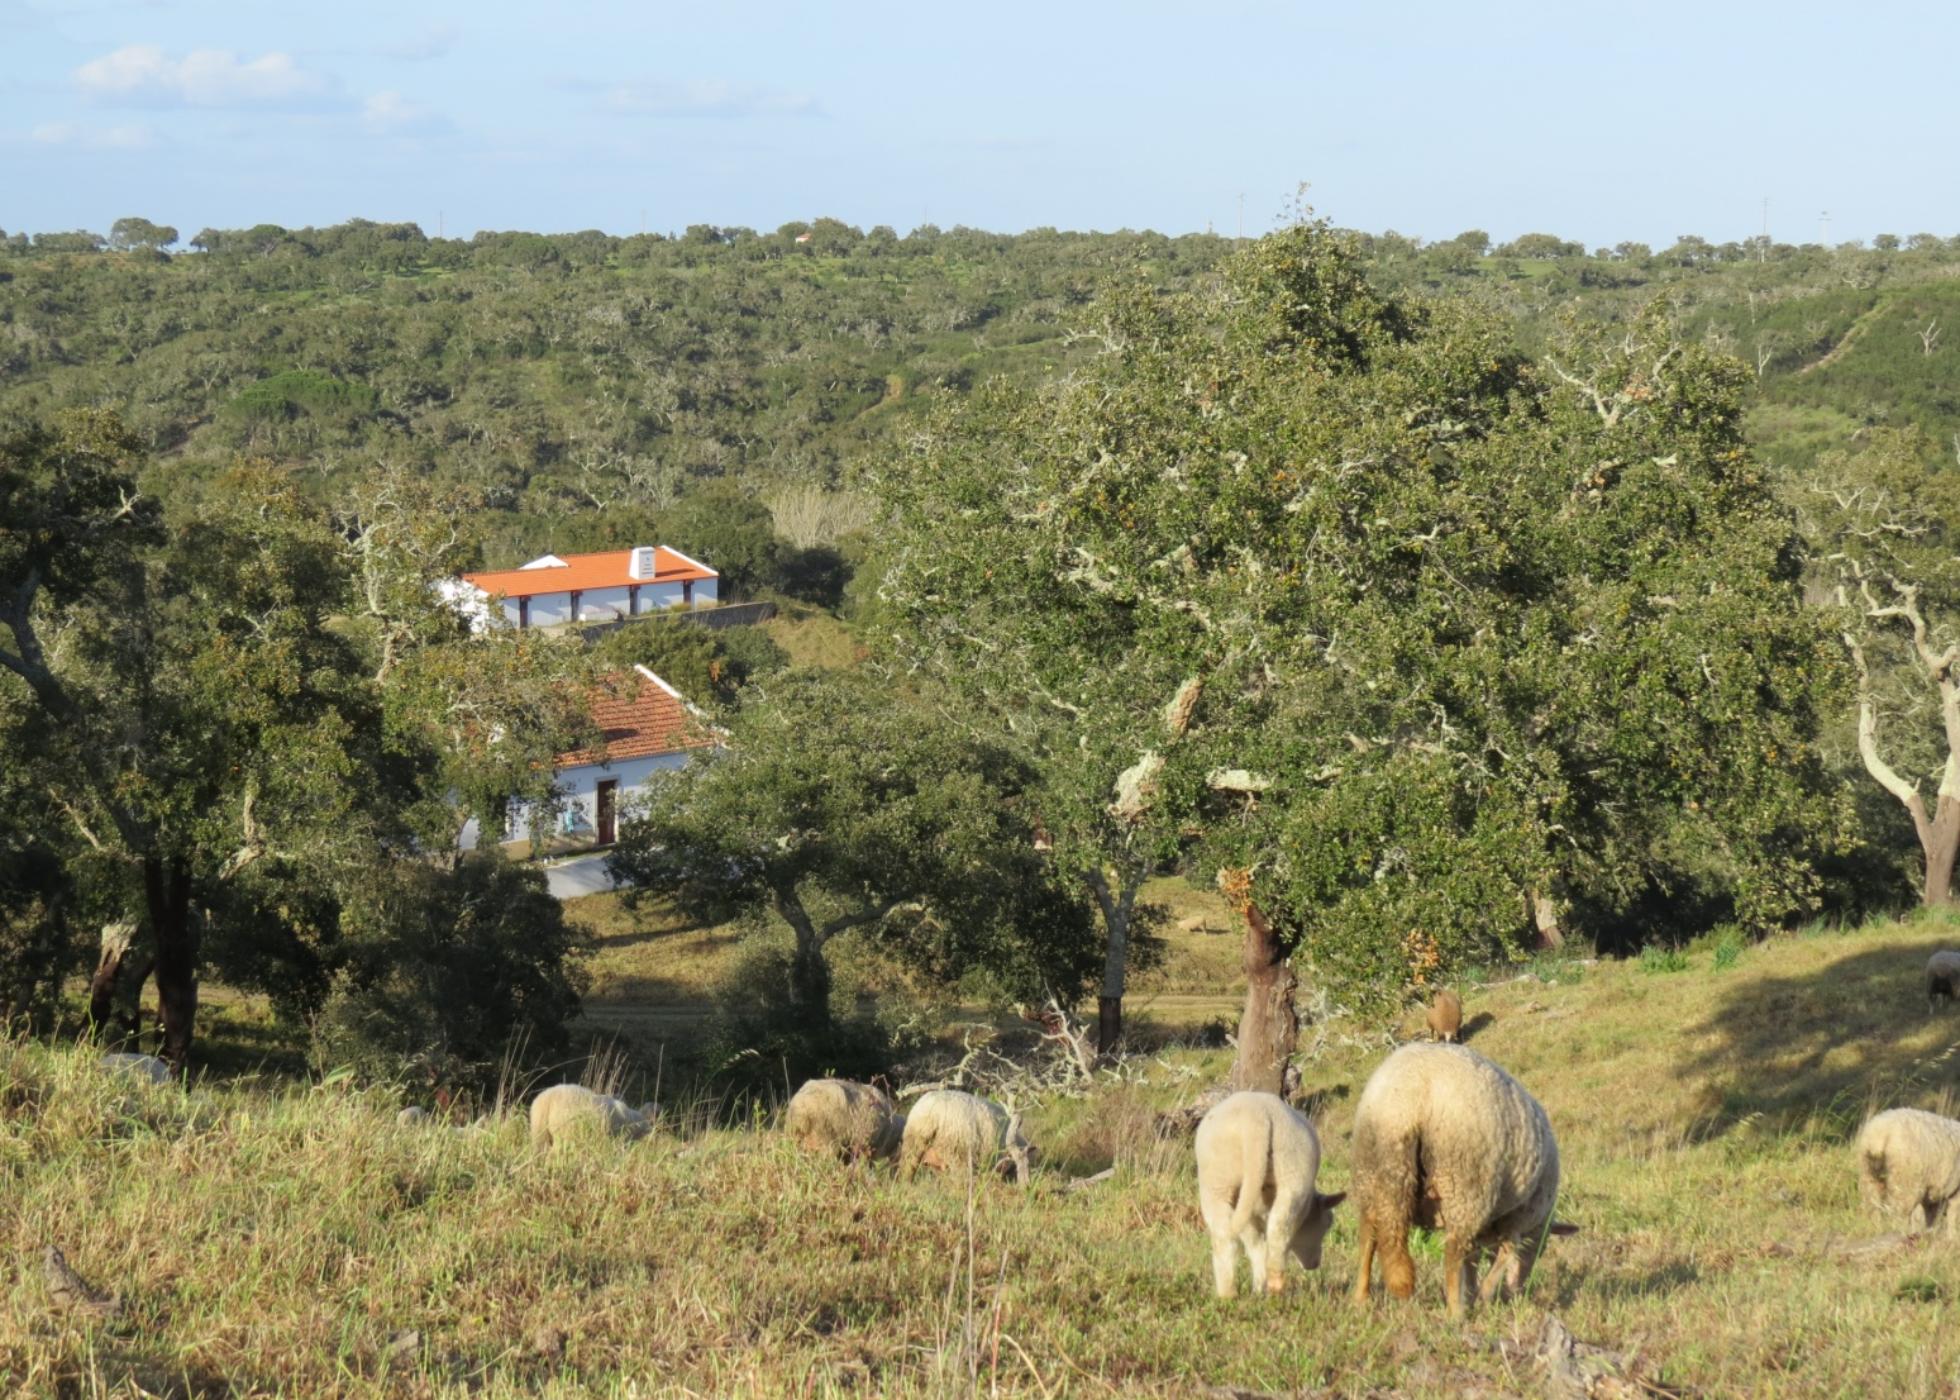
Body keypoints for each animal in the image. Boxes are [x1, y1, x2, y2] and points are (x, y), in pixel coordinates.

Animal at [897, 1082, 1034, 1184]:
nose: (1026, 1185)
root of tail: (931, 1112)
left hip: (914, 1142)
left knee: (908, 1166)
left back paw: (906, 1184)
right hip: (957, 1149)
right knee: (961, 1176)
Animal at [1191, 1082, 1348, 1294]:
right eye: (1326, 1224)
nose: (1314, 1264)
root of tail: (1255, 1118)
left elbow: (1253, 1240)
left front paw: (1258, 1285)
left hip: (1217, 1181)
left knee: (1224, 1235)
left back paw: (1229, 1293)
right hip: (1293, 1170)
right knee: (1279, 1227)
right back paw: (1274, 1284)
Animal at [1348, 1043, 1575, 1317]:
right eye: (1543, 1250)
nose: (1518, 1293)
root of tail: (1411, 1098)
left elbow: (1474, 1259)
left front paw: (1474, 1294)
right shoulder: (1516, 1220)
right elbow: (1502, 1254)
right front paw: (1483, 1296)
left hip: (1370, 1170)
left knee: (1368, 1236)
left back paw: (1361, 1299)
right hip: (1465, 1184)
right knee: (1452, 1253)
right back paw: (1455, 1313)